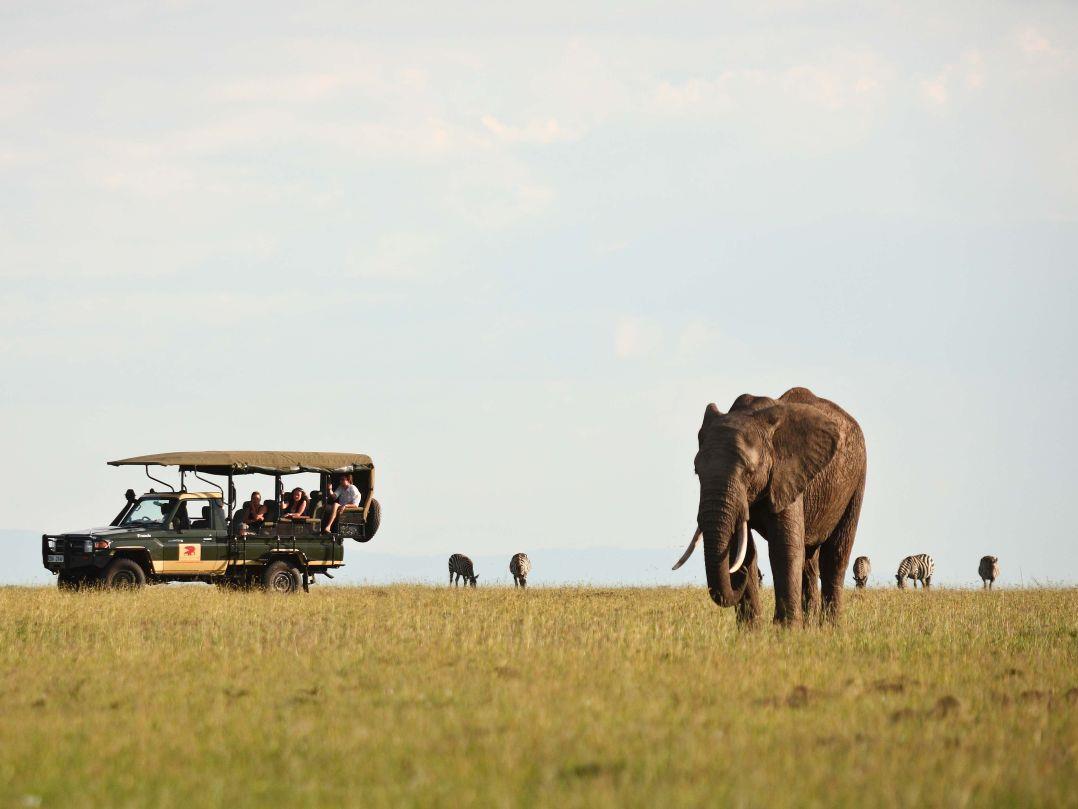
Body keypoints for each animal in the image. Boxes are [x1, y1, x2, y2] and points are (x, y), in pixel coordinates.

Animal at [673, 387, 867, 627]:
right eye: (696, 471)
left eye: (749, 471)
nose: (741, 577)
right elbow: (742, 549)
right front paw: (751, 631)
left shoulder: (788, 474)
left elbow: (784, 548)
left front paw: (785, 630)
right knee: (809, 562)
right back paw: (810, 628)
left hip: (857, 479)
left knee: (834, 557)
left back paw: (830, 628)